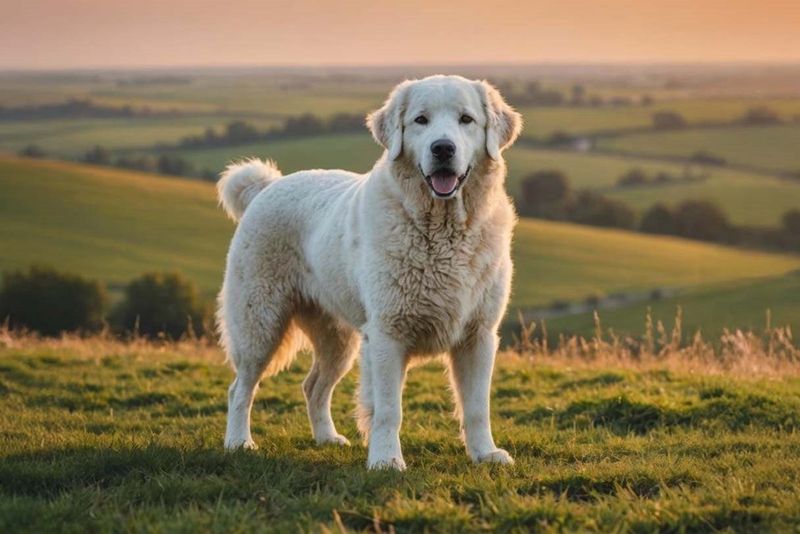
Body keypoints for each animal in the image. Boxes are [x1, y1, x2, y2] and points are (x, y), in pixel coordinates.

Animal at [216, 74, 520, 468]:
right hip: (260, 325)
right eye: (421, 120)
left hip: (339, 338)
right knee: (240, 388)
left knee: (313, 386)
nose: (442, 149)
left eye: (466, 120)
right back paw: (239, 442)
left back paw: (327, 438)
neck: (442, 233)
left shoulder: (478, 335)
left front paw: (485, 454)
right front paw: (386, 461)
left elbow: (477, 407)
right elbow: (390, 410)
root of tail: (267, 187)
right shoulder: (388, 334)